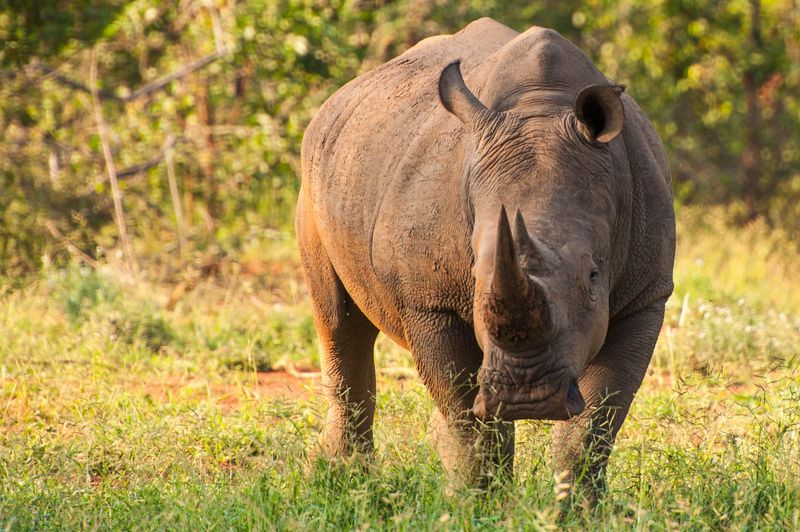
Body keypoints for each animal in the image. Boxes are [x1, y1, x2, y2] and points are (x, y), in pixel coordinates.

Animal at [296, 18, 675, 499]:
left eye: (594, 274)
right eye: (478, 273)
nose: (528, 396)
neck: (541, 107)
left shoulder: (646, 296)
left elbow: (597, 418)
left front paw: (578, 506)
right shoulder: (429, 301)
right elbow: (465, 411)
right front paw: (481, 502)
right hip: (314, 177)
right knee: (339, 322)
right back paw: (349, 482)